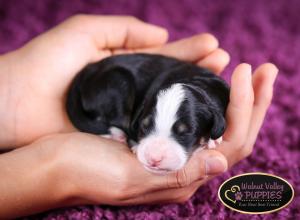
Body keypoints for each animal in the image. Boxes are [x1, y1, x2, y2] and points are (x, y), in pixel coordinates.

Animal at [66, 53, 230, 174]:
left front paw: (213, 139)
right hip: (118, 81)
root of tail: (87, 70)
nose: (154, 159)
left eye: (186, 133)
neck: (196, 83)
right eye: (144, 127)